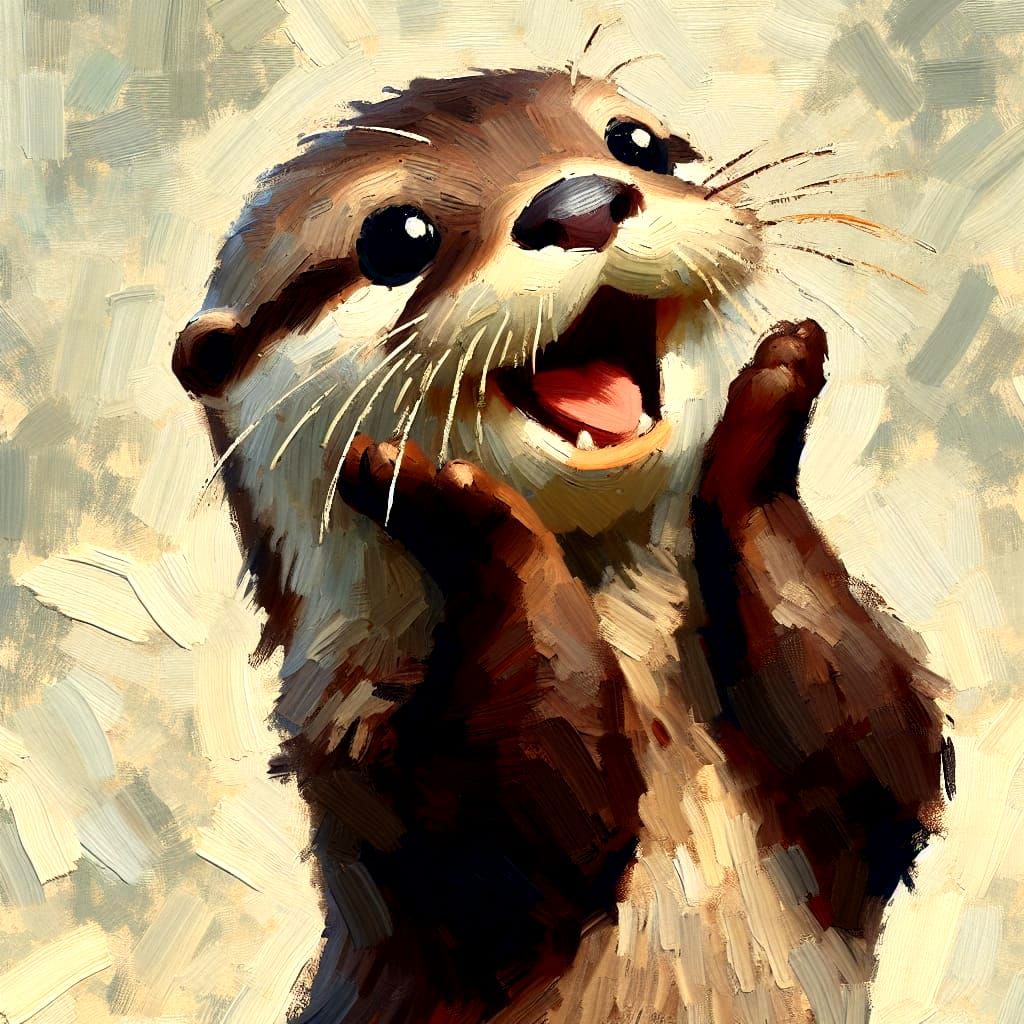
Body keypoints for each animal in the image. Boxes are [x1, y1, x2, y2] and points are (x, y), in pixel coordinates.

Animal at [173, 70, 948, 1023]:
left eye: (635, 142)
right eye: (396, 238)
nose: (580, 205)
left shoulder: (865, 806)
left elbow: (882, 737)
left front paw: (775, 389)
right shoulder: (362, 758)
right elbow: (525, 812)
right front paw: (453, 499)